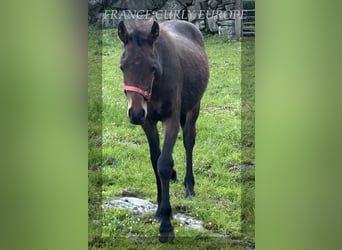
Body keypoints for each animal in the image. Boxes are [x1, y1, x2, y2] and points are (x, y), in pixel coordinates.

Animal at [117, 19, 208, 242]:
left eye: (152, 67)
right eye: (122, 67)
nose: (135, 113)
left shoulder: (171, 120)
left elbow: (164, 163)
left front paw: (166, 225)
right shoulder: (148, 122)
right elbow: (154, 160)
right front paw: (159, 209)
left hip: (193, 108)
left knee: (188, 142)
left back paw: (189, 186)